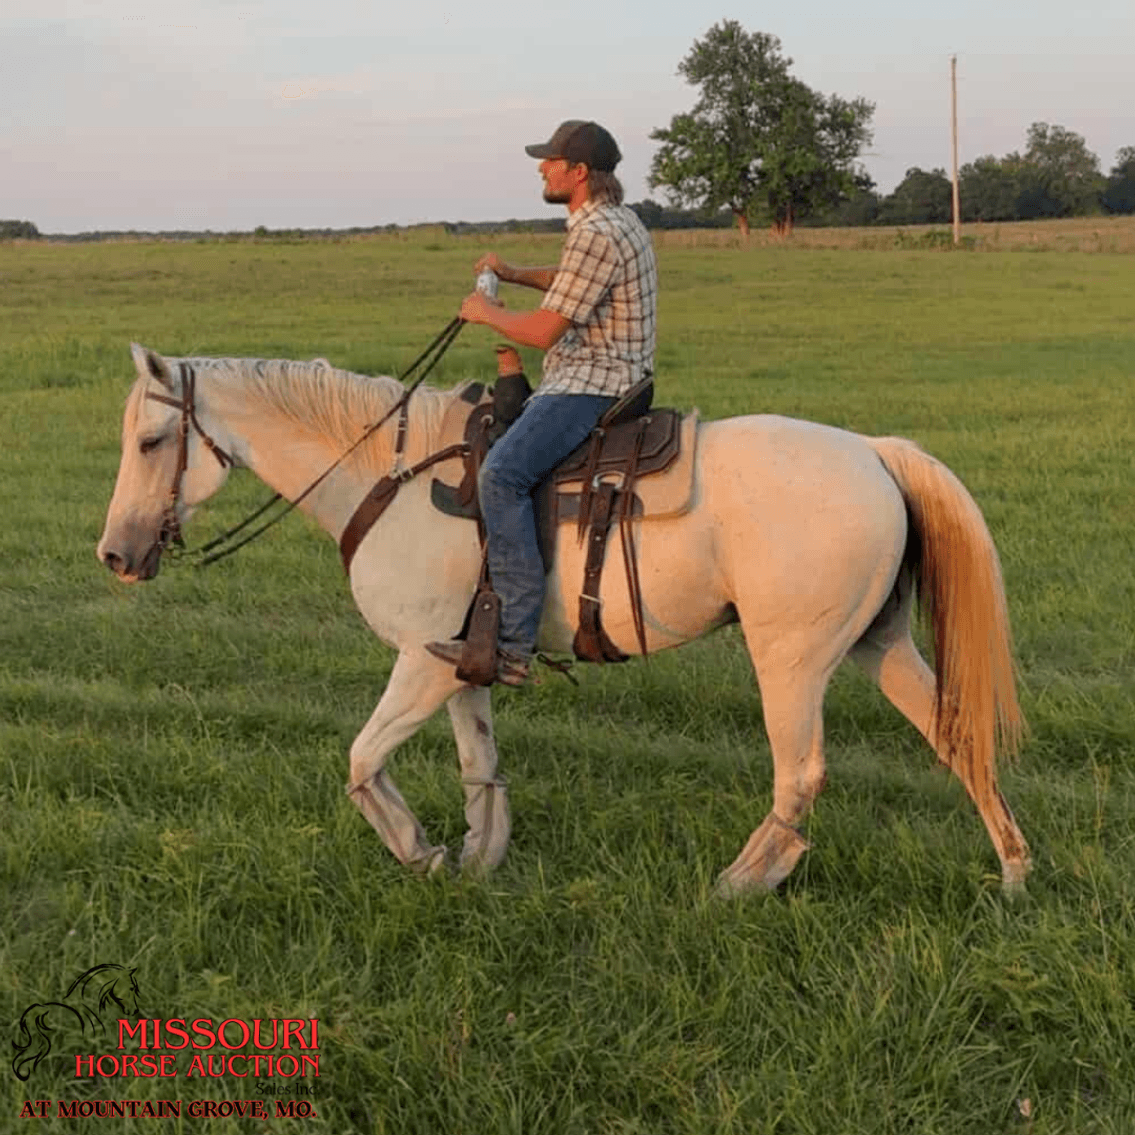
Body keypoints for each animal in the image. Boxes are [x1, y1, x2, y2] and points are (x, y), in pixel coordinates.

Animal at [96, 343, 1031, 897]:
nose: (114, 553)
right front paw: (481, 855)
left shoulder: (419, 662)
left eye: (149, 442)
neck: (387, 477)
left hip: (791, 658)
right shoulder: (458, 660)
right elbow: (478, 762)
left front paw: (418, 850)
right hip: (879, 643)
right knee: (956, 739)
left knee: (798, 773)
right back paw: (1013, 871)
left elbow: (362, 758)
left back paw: (737, 883)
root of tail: (875, 452)